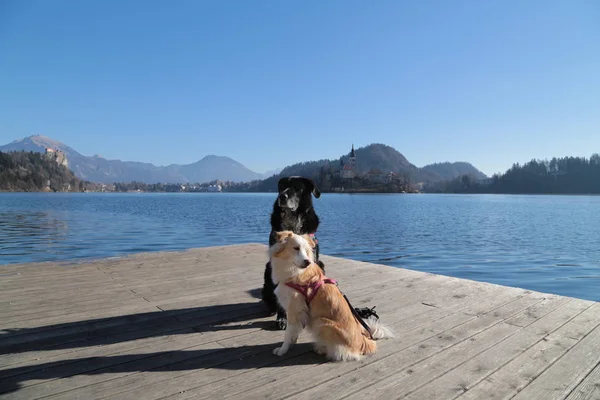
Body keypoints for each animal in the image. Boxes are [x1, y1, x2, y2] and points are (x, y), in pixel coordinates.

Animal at [262, 177, 328, 330]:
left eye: (297, 188)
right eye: (281, 186)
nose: (282, 196)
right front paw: (282, 318)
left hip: (321, 264)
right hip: (268, 269)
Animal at [268, 230, 394, 360]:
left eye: (306, 250)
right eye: (296, 248)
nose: (307, 262)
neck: (294, 271)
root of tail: (365, 341)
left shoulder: (294, 310)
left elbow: (288, 333)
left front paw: (282, 350)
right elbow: (293, 333)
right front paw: (292, 343)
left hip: (319, 321)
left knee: (342, 352)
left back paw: (322, 349)